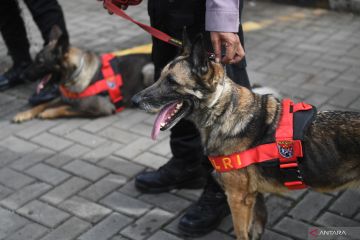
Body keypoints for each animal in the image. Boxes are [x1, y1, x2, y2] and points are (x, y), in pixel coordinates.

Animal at [12, 25, 153, 124]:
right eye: (35, 59)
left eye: (40, 62)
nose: (22, 75)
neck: (75, 74)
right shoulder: (63, 97)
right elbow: (42, 104)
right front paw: (23, 114)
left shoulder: (101, 107)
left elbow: (66, 109)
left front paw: (48, 113)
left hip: (147, 69)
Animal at [131, 32, 360, 240]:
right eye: (160, 76)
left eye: (171, 81)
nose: (134, 101)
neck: (222, 109)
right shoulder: (252, 197)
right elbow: (256, 227)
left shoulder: (238, 199)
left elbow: (241, 233)